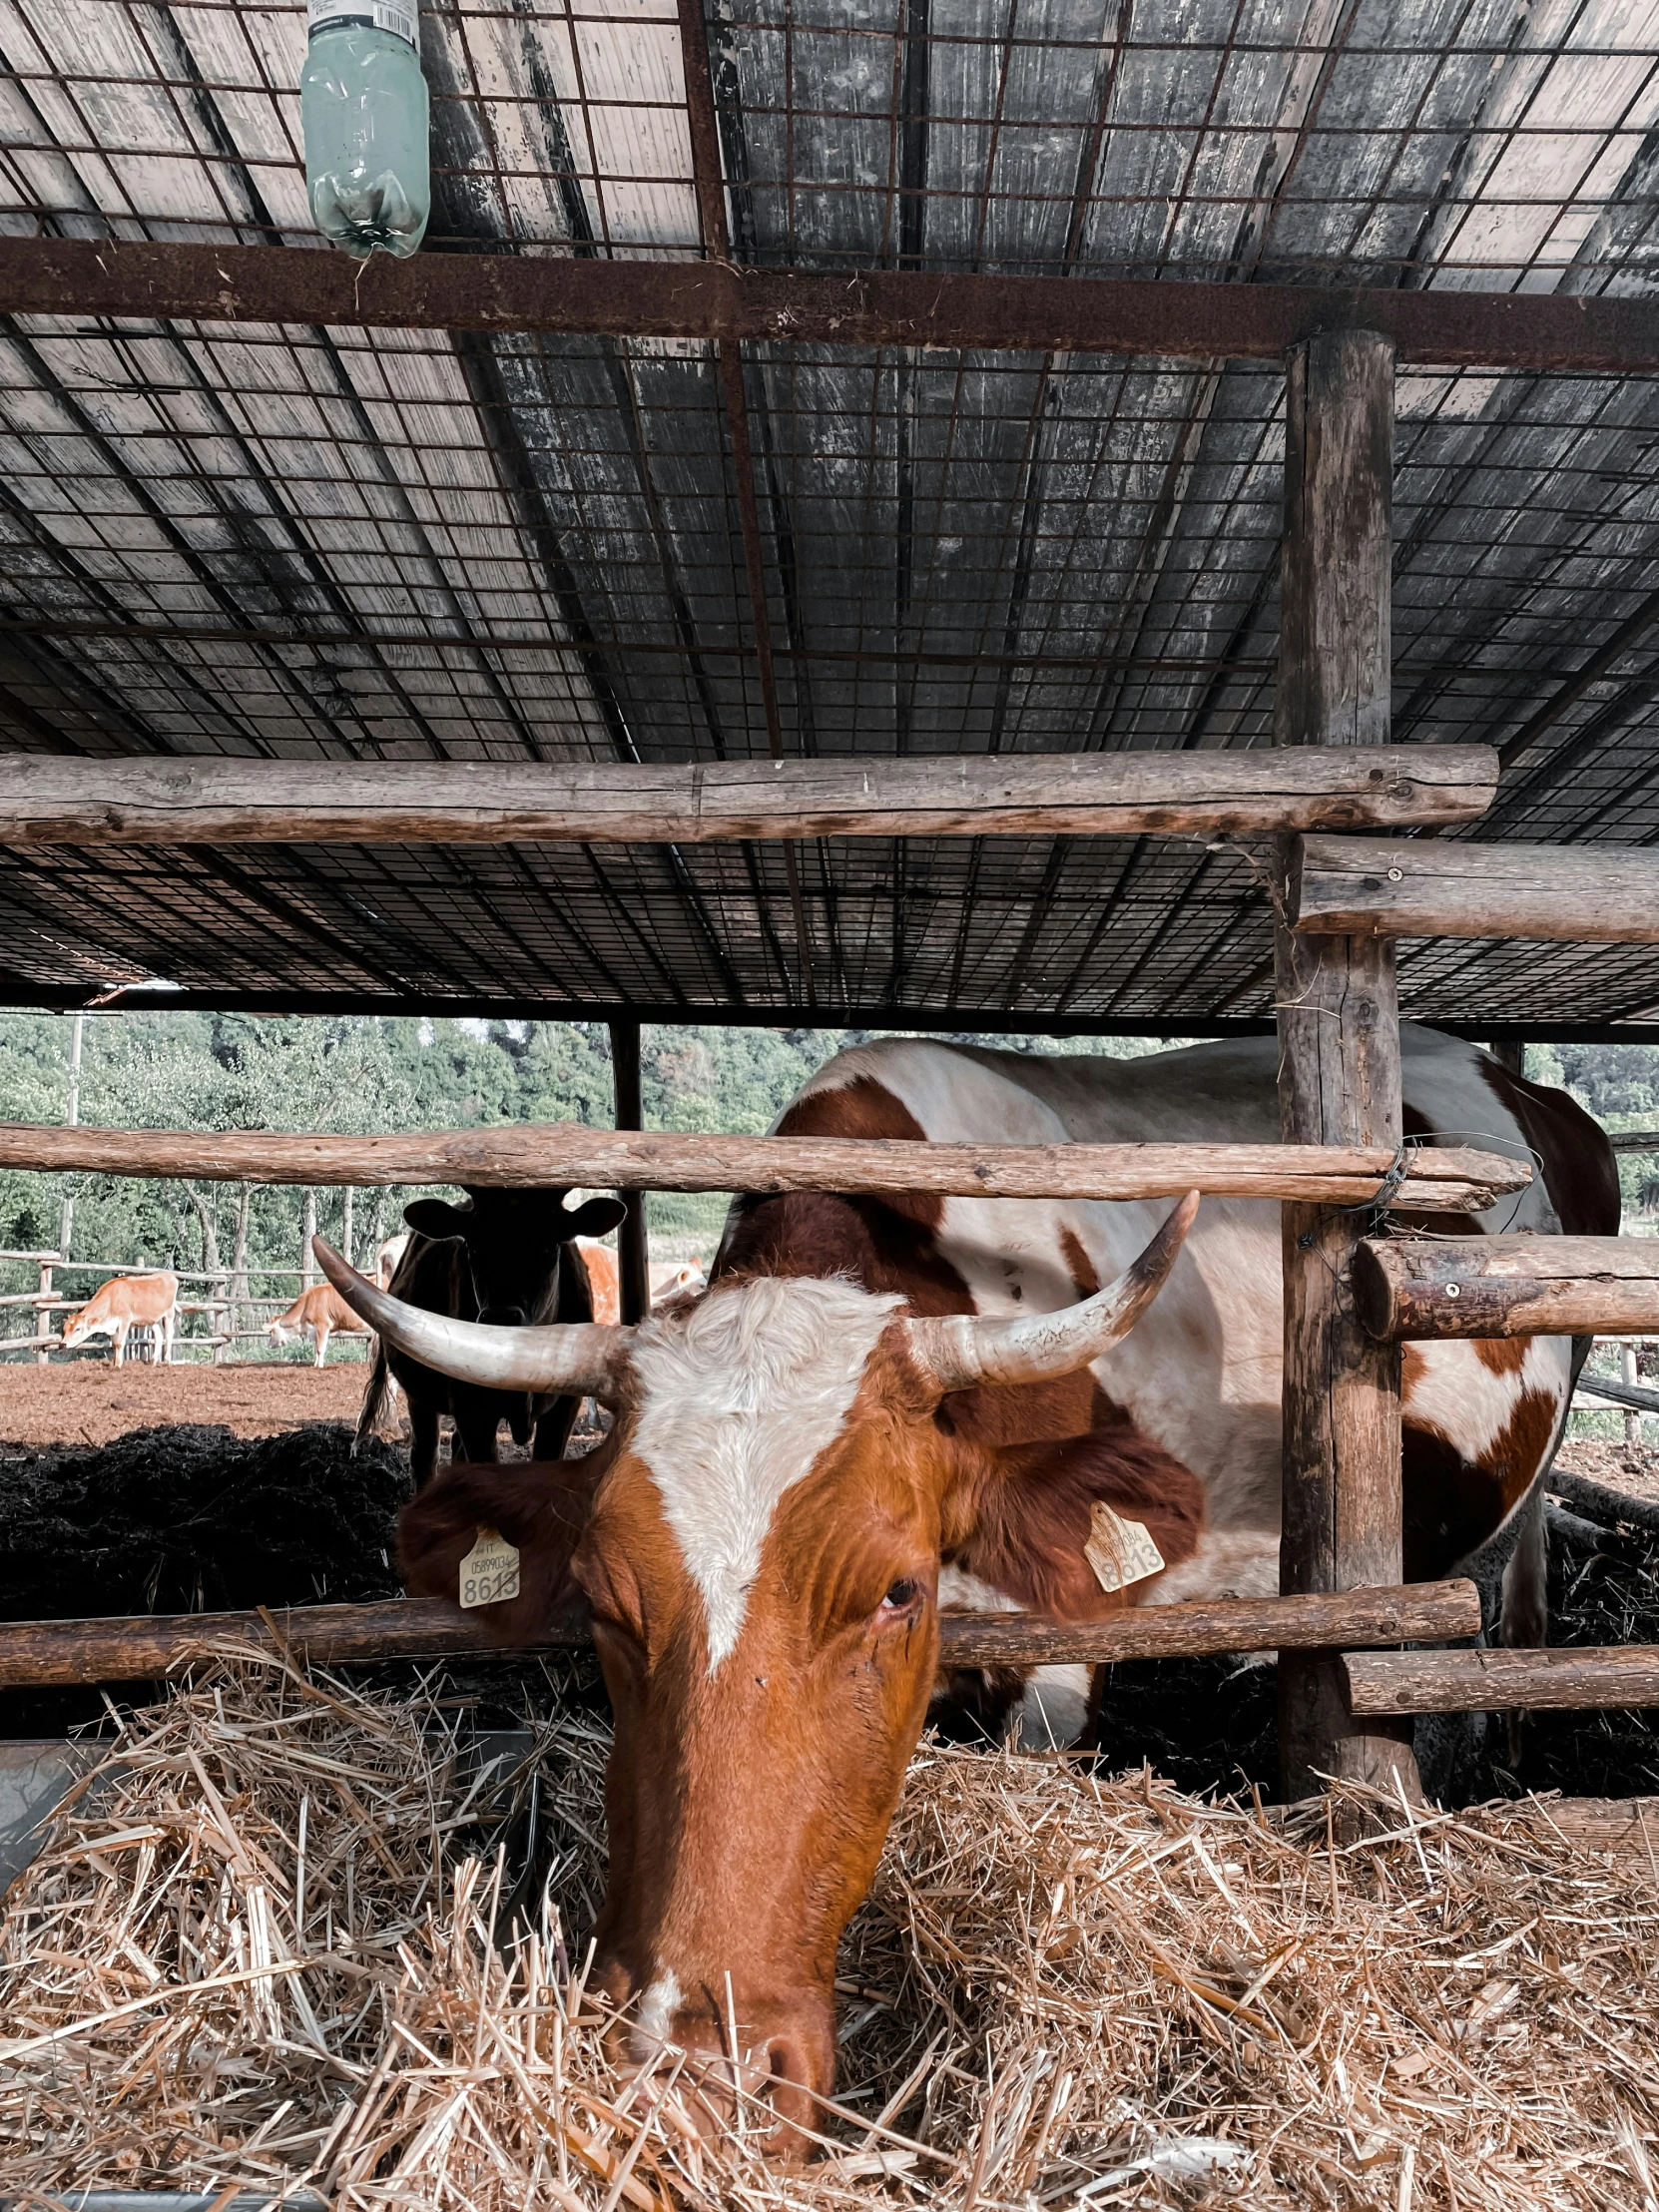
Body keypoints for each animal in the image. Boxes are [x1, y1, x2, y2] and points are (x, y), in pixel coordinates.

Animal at [351, 1185, 628, 1495]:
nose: (500, 1317)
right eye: (473, 1248)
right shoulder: (471, 1405)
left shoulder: (564, 1407)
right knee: (425, 1457)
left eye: (549, 1247)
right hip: (420, 1393)